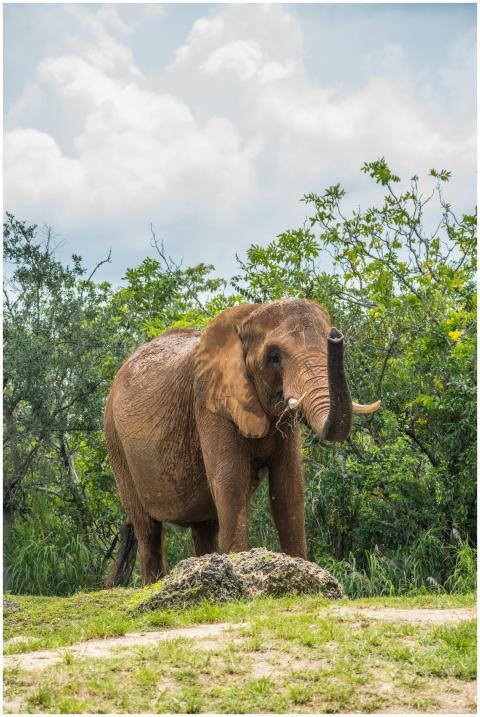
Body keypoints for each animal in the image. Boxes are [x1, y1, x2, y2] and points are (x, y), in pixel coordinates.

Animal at [104, 299, 380, 584]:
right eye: (273, 357)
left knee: (204, 525)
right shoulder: (211, 405)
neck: (248, 316)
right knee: (148, 530)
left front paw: (302, 573)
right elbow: (231, 481)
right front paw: (238, 573)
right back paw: (156, 583)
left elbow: (288, 484)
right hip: (115, 441)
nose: (336, 336)